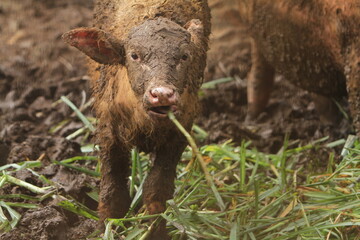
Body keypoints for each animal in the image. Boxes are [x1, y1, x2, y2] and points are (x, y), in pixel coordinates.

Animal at [62, 0, 211, 238]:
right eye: (134, 55)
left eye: (184, 56)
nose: (162, 94)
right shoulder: (109, 133)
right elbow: (113, 191)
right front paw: (106, 228)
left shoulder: (178, 136)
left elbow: (156, 189)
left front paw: (156, 230)